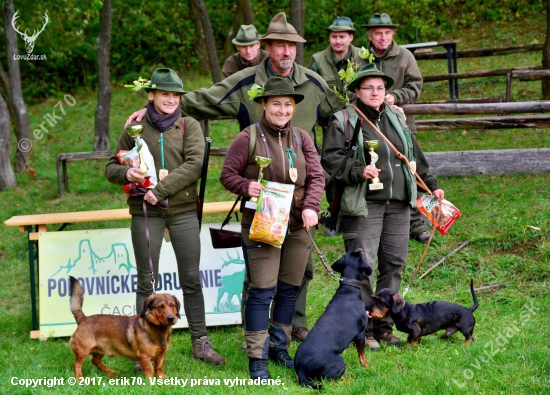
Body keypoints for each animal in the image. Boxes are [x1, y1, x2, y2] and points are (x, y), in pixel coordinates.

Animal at [296, 249, 374, 392]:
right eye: (359, 255)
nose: (360, 249)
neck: (348, 290)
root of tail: (301, 369)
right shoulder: (361, 334)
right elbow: (362, 356)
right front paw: (368, 367)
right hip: (339, 362)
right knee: (327, 382)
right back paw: (347, 382)